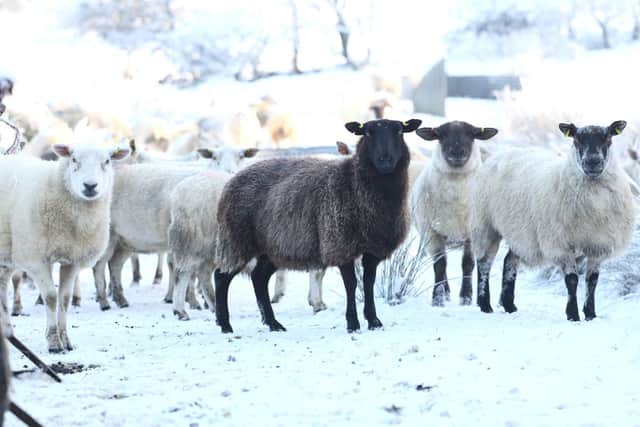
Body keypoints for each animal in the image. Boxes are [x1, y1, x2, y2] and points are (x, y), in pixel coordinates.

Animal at [0, 125, 130, 352]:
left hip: (7, 256)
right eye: (74, 159)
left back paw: (8, 332)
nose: (90, 186)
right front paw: (53, 342)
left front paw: (66, 340)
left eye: (107, 161)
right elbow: (51, 298)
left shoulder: (72, 260)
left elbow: (65, 299)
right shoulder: (36, 259)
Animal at [214, 118, 421, 333]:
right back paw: (225, 325)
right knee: (221, 277)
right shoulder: (339, 244)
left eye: (399, 131)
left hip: (273, 248)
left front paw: (373, 321)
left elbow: (368, 282)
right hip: (236, 238)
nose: (385, 161)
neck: (354, 183)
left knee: (258, 278)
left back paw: (273, 323)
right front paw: (353, 323)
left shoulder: (373, 249)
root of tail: (232, 180)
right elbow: (351, 284)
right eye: (367, 133)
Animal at [410, 121, 498, 306]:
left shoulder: (473, 233)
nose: (457, 152)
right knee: (441, 263)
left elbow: (468, 264)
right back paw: (446, 292)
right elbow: (440, 265)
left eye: (472, 134)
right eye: (440, 135)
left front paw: (466, 297)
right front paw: (437, 299)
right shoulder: (432, 233)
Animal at [469, 121, 635, 320]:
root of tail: (499, 155)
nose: (593, 162)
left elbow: (592, 280)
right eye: (576, 140)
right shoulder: (561, 244)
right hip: (485, 225)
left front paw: (590, 314)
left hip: (522, 233)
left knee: (509, 261)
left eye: (608, 138)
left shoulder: (598, 244)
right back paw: (484, 304)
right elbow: (572, 280)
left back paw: (509, 305)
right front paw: (573, 315)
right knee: (484, 263)